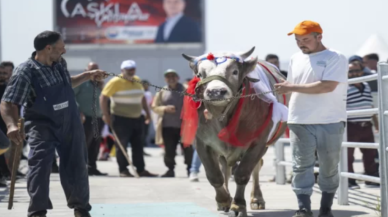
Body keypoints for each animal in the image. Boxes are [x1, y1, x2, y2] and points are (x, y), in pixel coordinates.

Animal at [181, 46, 288, 216]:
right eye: (200, 74)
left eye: (235, 71)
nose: (216, 92)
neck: (222, 116)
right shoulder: (202, 143)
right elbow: (214, 175)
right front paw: (224, 200)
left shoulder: (258, 143)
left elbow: (242, 173)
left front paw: (238, 205)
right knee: (225, 168)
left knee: (256, 168)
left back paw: (257, 199)